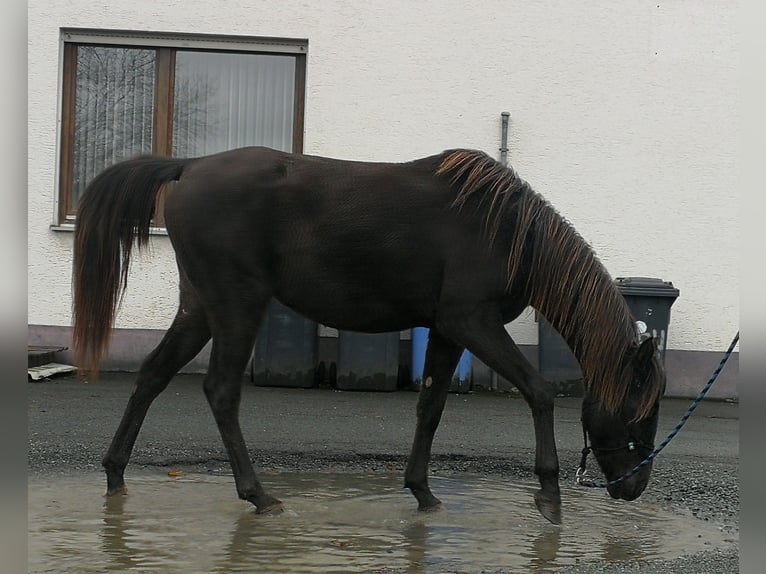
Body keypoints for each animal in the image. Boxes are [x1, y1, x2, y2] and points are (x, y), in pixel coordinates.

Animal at [75, 147, 668, 528]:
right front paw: (548, 495)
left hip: (199, 308)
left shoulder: (449, 331)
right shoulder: (473, 322)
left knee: (152, 377)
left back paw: (115, 477)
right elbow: (539, 391)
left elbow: (430, 407)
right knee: (220, 392)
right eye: (638, 408)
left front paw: (423, 492)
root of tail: (189, 166)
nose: (636, 486)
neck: (506, 230)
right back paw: (260, 496)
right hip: (237, 306)